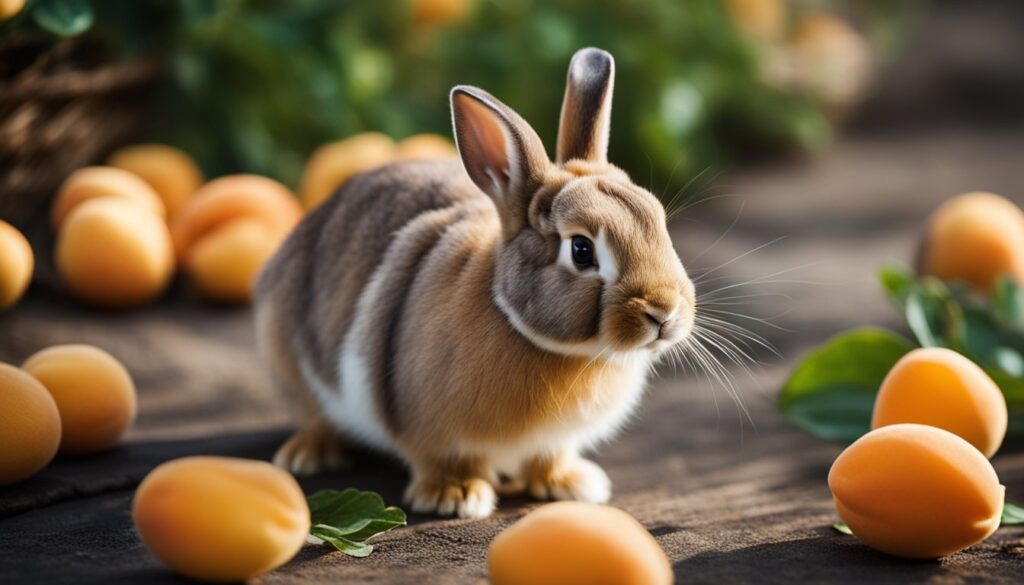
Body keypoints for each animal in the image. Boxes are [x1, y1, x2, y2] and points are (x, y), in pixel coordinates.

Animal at [254, 47, 696, 519]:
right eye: (581, 250)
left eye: (658, 220)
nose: (664, 312)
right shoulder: (429, 430)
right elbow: (445, 459)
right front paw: (455, 496)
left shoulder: (555, 440)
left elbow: (550, 457)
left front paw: (570, 485)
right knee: (315, 414)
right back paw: (310, 455)